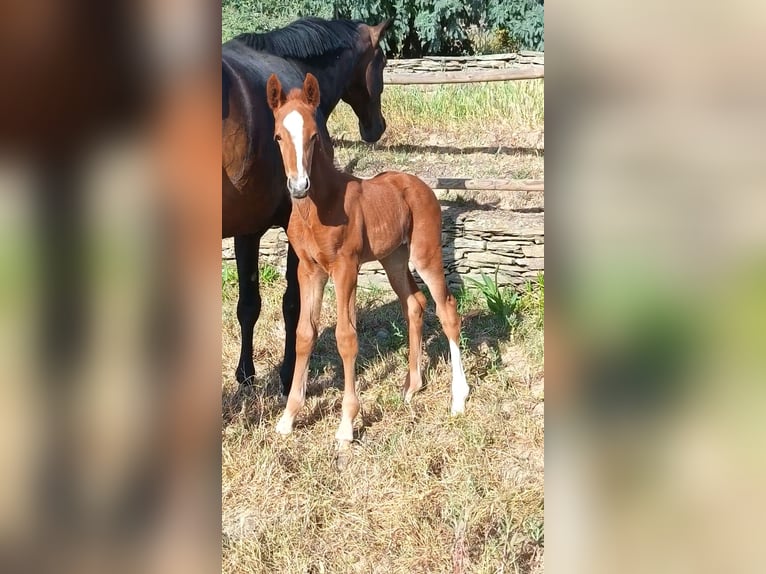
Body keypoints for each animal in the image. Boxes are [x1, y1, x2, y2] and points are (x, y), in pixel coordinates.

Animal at [222, 17, 392, 394]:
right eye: (383, 62)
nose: (377, 127)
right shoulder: (294, 225)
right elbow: (293, 303)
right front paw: (288, 378)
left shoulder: (248, 229)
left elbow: (248, 304)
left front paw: (246, 375)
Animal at [265, 72, 470, 450]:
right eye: (278, 136)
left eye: (314, 136)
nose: (299, 186)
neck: (319, 205)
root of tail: (420, 184)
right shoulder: (309, 270)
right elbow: (303, 334)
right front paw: (288, 418)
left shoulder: (345, 267)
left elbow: (346, 337)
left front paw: (346, 425)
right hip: (393, 258)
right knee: (414, 304)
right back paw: (412, 386)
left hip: (424, 254)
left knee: (447, 308)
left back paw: (458, 398)